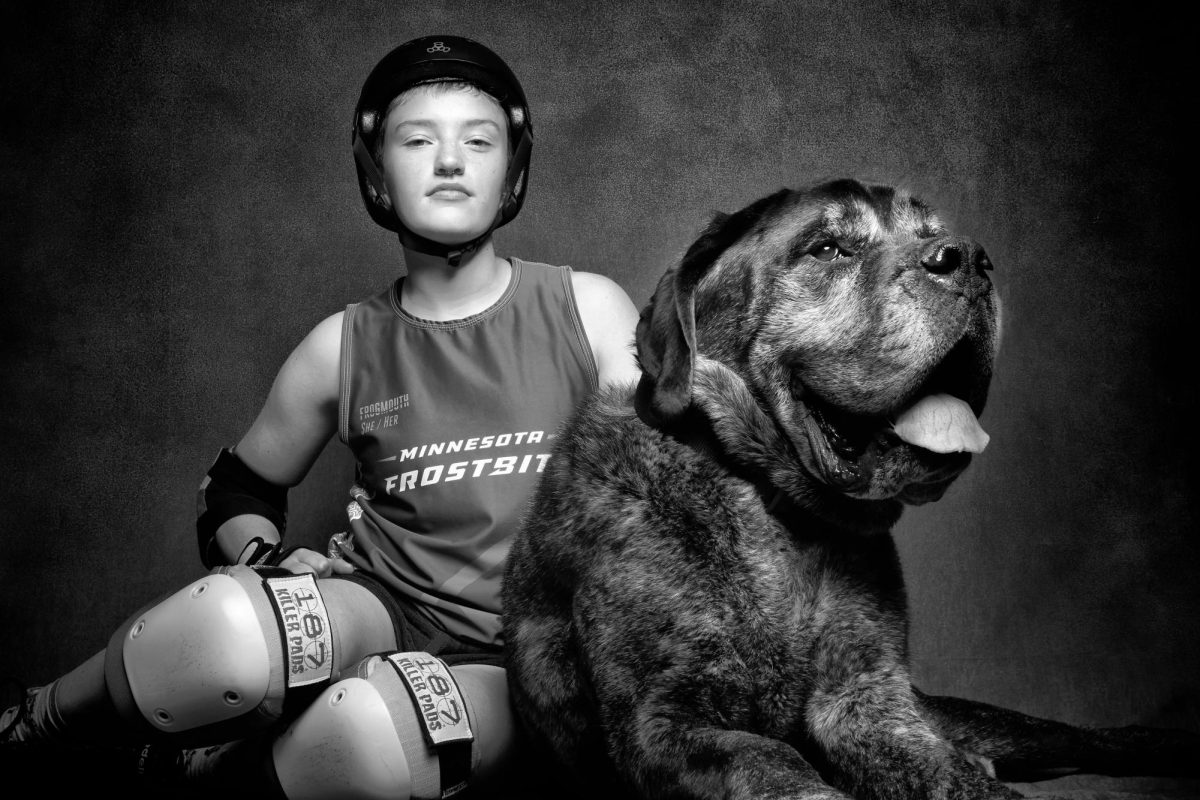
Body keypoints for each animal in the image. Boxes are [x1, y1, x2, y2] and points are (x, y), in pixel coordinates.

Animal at [499, 181, 1200, 800]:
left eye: (932, 230)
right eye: (829, 249)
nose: (968, 259)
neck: (774, 505)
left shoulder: (867, 702)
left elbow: (944, 772)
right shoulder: (662, 723)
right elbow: (772, 762)